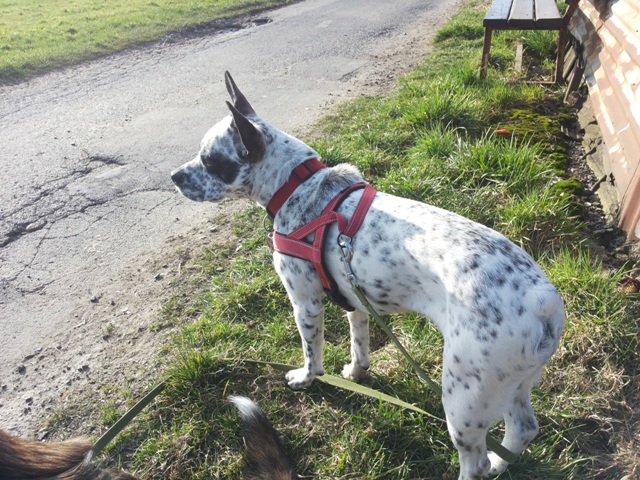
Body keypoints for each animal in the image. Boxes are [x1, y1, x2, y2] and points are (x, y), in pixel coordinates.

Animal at [171, 72, 564, 480]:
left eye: (211, 160)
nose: (174, 177)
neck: (298, 185)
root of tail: (541, 302)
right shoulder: (355, 302)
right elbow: (358, 345)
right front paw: (357, 372)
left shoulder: (306, 305)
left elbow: (312, 354)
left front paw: (306, 378)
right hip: (514, 385)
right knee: (522, 430)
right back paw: (503, 464)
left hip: (464, 400)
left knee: (476, 461)